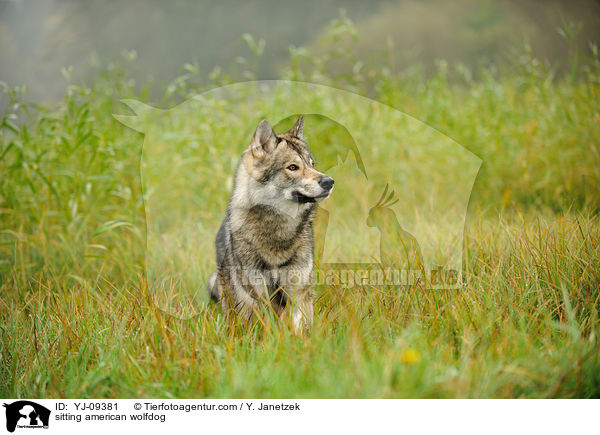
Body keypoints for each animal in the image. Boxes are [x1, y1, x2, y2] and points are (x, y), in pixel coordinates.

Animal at [209, 116, 336, 334]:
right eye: (292, 167)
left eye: (312, 164)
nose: (329, 181)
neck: (278, 231)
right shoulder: (256, 293)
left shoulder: (298, 289)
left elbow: (300, 324)